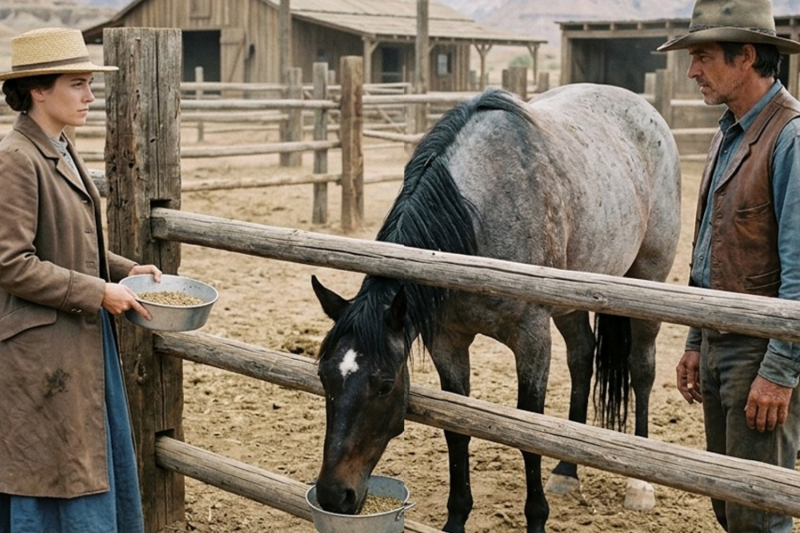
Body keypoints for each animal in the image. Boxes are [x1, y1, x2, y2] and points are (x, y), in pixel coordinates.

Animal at [311, 83, 681, 533]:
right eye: (324, 377)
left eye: (383, 385)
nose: (334, 496)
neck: (477, 221)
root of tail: (645, 108)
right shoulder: (449, 342)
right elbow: (457, 430)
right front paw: (455, 519)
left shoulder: (532, 339)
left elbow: (529, 432)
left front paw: (537, 520)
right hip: (572, 301)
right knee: (582, 357)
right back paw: (567, 471)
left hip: (648, 280)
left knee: (641, 369)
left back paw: (640, 486)